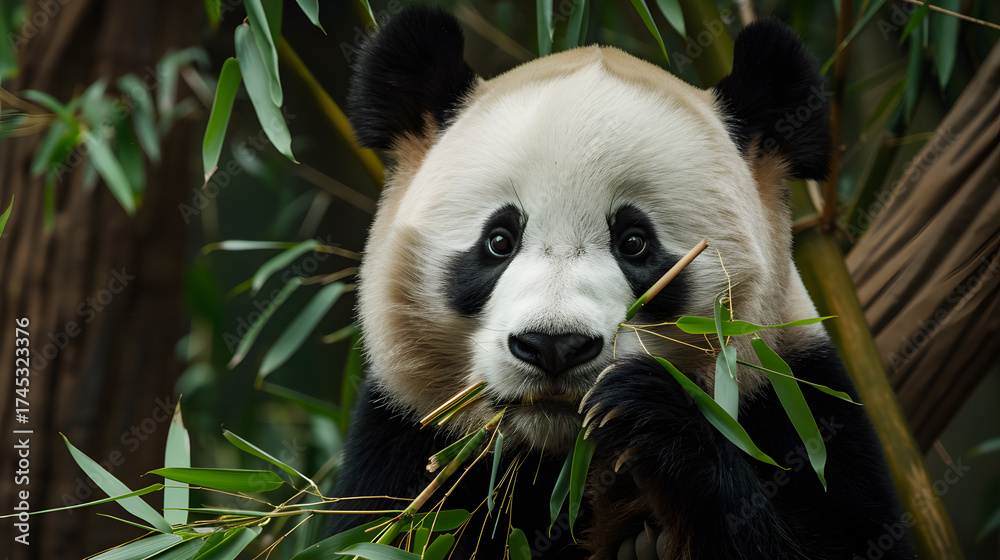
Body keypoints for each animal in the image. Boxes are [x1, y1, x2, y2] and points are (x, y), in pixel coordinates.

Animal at [330, 6, 915, 560]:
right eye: (499, 241)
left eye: (634, 242)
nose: (554, 346)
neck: (564, 459)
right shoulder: (403, 437)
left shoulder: (798, 399)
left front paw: (648, 415)